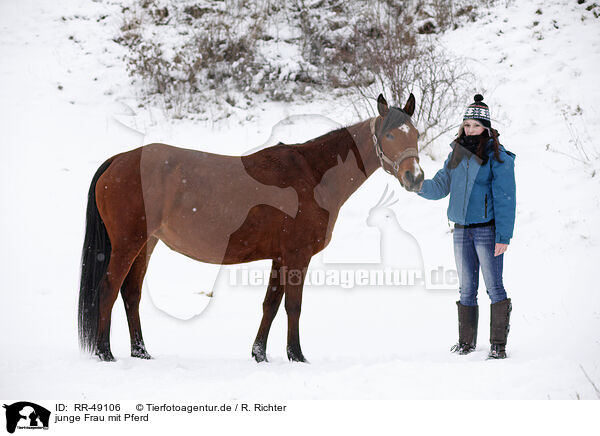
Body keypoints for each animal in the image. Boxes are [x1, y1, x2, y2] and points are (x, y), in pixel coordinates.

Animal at [79, 93, 424, 362]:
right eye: (390, 136)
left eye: (416, 135)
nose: (415, 177)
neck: (312, 175)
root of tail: (119, 160)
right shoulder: (297, 255)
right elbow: (293, 306)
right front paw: (296, 355)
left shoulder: (280, 257)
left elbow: (270, 304)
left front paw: (259, 354)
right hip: (128, 243)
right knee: (109, 289)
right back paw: (105, 352)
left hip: (145, 244)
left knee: (131, 293)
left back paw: (141, 352)